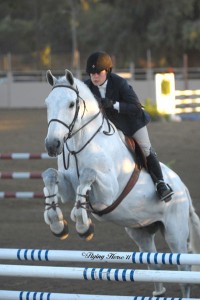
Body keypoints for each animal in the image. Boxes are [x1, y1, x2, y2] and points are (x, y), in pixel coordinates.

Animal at [42, 69, 200, 298]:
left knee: (184, 271)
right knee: (154, 267)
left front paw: (83, 225)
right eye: (47, 103)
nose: (52, 146)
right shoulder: (67, 190)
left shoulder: (107, 194)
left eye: (71, 104)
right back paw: (157, 292)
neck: (81, 144)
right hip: (140, 232)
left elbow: (87, 177)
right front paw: (57, 223)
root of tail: (183, 187)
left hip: (175, 232)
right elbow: (50, 176)